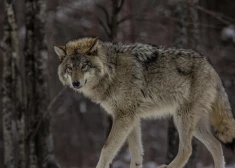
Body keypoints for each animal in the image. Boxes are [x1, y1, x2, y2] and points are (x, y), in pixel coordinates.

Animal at [54, 37, 235, 167]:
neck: (112, 71)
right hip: (195, 125)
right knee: (216, 145)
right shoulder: (131, 118)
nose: (75, 83)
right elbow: (136, 153)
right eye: (70, 68)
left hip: (182, 119)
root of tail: (212, 68)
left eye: (84, 66)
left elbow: (107, 149)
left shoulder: (124, 117)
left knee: (187, 150)